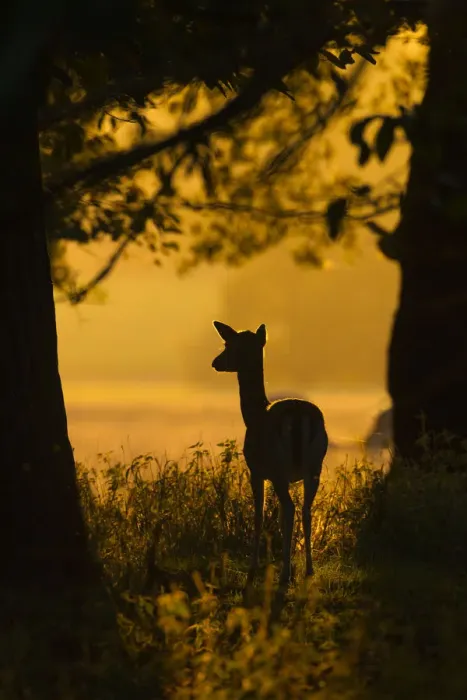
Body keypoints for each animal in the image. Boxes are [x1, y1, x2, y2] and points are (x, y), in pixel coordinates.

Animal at [212, 321, 328, 586]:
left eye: (227, 344)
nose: (215, 362)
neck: (253, 415)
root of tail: (299, 417)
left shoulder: (256, 470)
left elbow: (259, 516)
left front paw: (253, 568)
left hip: (278, 468)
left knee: (291, 508)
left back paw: (286, 575)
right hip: (315, 466)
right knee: (305, 509)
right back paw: (308, 570)